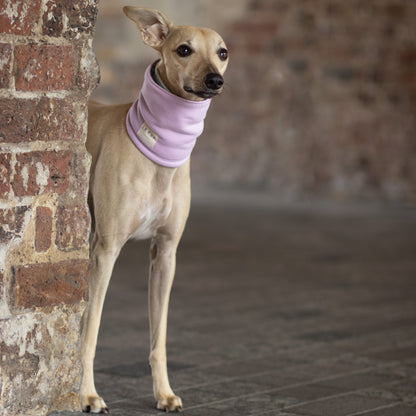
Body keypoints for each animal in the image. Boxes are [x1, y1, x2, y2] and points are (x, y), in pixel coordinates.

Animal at [79, 6, 229, 412]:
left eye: (222, 52)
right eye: (183, 49)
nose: (215, 80)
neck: (153, 148)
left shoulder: (165, 253)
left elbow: (158, 337)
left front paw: (164, 393)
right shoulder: (104, 250)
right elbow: (91, 329)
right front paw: (87, 394)